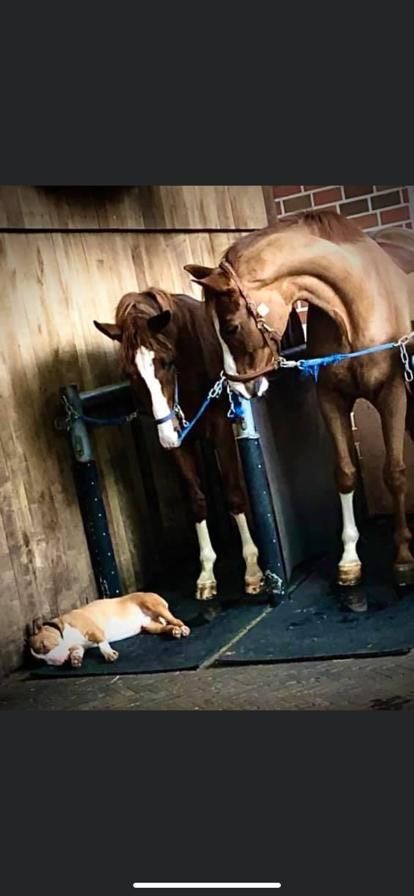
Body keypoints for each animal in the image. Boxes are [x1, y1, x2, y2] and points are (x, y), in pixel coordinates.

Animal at [29, 592, 191, 668]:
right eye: (42, 661)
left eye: (43, 645)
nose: (56, 663)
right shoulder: (78, 647)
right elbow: (78, 652)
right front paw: (75, 660)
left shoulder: (93, 629)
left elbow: (101, 642)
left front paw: (108, 654)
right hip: (151, 626)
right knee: (166, 627)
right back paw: (174, 631)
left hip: (154, 605)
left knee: (176, 620)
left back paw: (182, 628)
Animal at [95, 290, 304, 600]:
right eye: (130, 373)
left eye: (167, 361)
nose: (167, 435)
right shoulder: (181, 443)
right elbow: (196, 499)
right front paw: (206, 575)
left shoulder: (221, 430)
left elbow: (234, 494)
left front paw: (253, 570)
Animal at [186, 210, 414, 588]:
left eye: (231, 327)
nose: (238, 390)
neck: (356, 310)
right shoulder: (331, 399)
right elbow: (344, 473)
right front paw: (349, 559)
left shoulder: (392, 394)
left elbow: (394, 474)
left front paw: (403, 557)